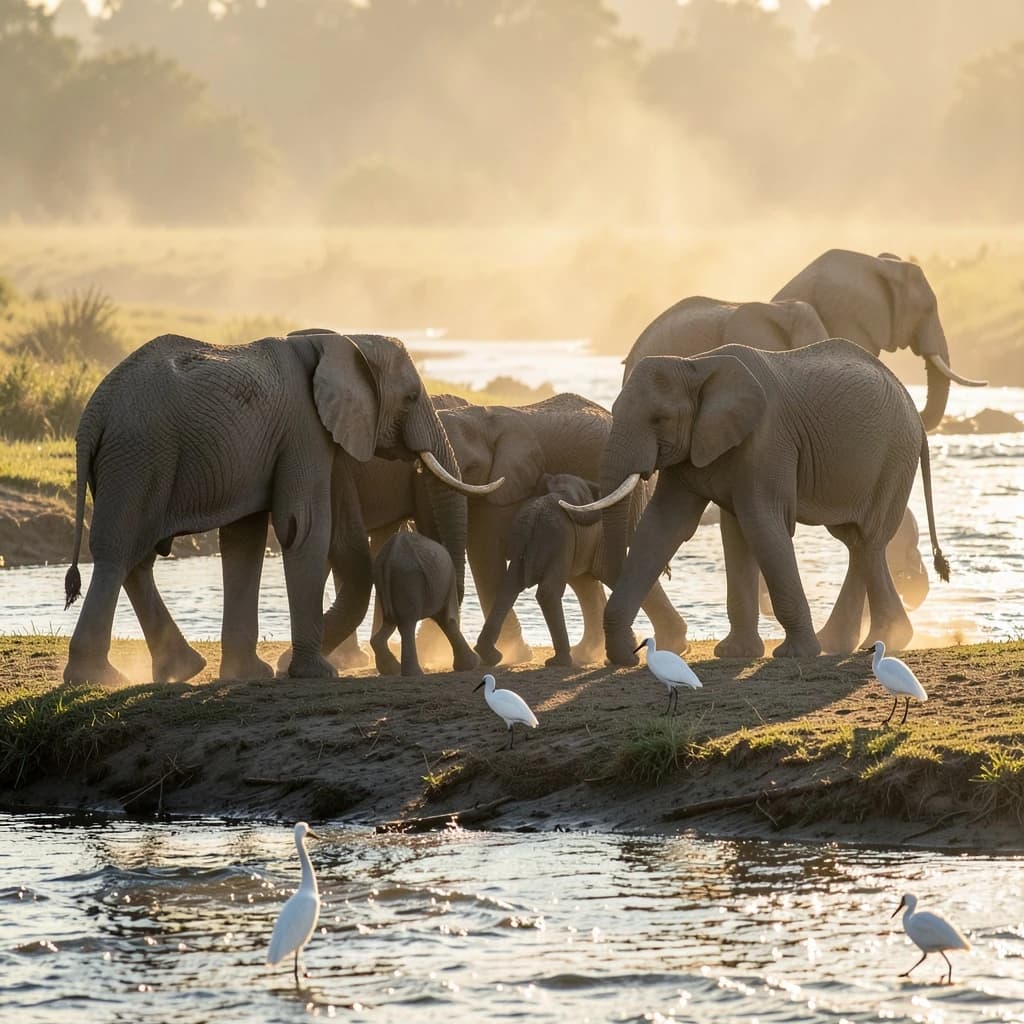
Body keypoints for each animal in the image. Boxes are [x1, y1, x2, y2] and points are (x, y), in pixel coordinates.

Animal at [370, 529, 480, 677]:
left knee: (390, 621)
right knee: (407, 623)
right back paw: (413, 673)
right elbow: (448, 619)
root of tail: (389, 556)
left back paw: (392, 670)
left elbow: (441, 618)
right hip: (409, 579)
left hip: (384, 580)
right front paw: (471, 665)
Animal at [476, 474, 608, 667]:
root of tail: (531, 522)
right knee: (548, 592)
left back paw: (490, 656)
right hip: (556, 543)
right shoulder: (567, 541)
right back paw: (560, 660)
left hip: (522, 542)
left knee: (508, 588)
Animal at [562, 339, 949, 664]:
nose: (630, 655)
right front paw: (735, 654)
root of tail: (915, 413)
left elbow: (761, 523)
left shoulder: (767, 440)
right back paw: (850, 643)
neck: (696, 365)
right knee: (856, 542)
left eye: (659, 419)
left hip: (893, 459)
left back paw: (887, 640)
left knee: (868, 541)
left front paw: (794, 654)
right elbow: (667, 526)